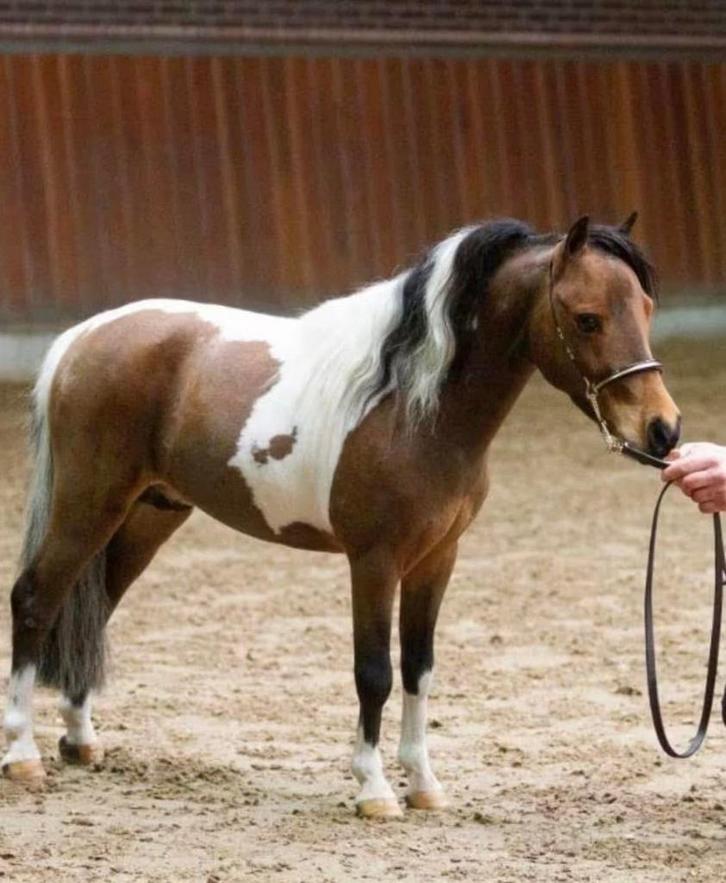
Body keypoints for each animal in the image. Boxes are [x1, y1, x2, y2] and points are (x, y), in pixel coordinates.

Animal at [2, 214, 680, 818]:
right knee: (35, 599)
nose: (664, 430)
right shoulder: (374, 562)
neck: (410, 407)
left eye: (646, 308)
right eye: (587, 318)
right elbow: (374, 672)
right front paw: (375, 791)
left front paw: (424, 786)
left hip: (149, 515)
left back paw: (81, 742)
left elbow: (419, 669)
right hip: (89, 503)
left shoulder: (437, 559)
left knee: (94, 610)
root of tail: (82, 338)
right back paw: (23, 755)